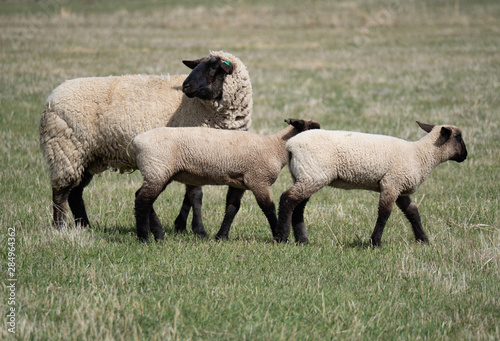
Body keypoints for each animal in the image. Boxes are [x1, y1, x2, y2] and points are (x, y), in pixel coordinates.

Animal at [39, 49, 252, 236]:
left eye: (213, 68)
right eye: (197, 66)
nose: (185, 86)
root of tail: (51, 98)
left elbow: (189, 197)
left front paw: (181, 227)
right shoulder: (192, 149)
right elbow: (195, 196)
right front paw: (199, 231)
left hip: (87, 156)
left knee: (75, 193)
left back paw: (85, 226)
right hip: (66, 150)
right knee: (60, 192)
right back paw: (59, 227)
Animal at [133, 118, 320, 240]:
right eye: (313, 129)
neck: (274, 147)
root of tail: (137, 140)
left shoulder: (240, 184)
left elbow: (232, 208)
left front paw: (221, 236)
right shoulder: (258, 180)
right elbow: (268, 208)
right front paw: (278, 234)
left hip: (158, 172)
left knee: (142, 197)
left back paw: (158, 234)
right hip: (158, 169)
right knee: (143, 200)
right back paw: (145, 238)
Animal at [278, 121, 468, 246]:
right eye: (458, 137)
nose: (465, 156)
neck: (420, 155)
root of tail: (290, 146)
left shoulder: (400, 188)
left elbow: (413, 212)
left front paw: (423, 240)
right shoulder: (391, 183)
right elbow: (384, 213)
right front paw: (375, 242)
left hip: (305, 175)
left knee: (298, 207)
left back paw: (303, 241)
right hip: (313, 175)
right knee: (287, 198)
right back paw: (282, 237)